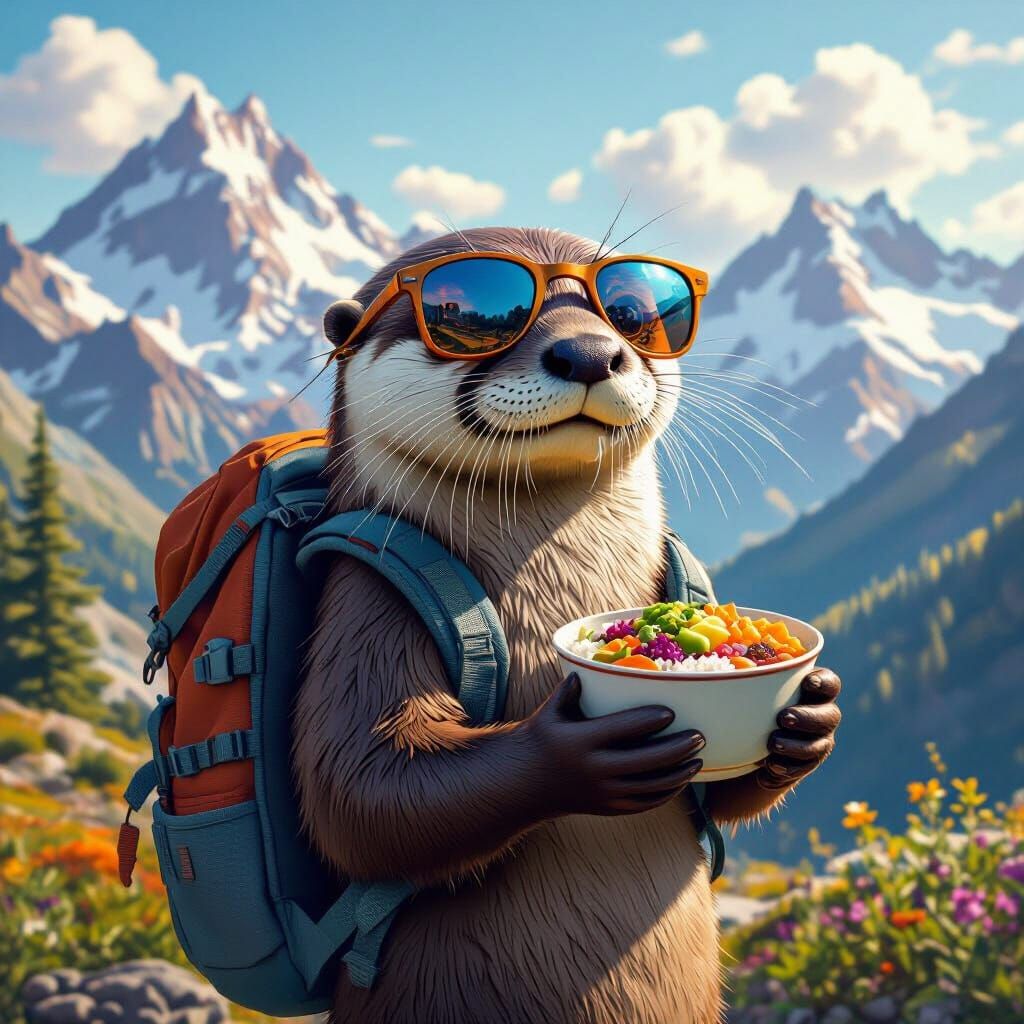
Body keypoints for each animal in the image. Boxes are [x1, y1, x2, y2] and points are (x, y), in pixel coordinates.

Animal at [294, 227, 841, 1024]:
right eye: (472, 310)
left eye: (630, 309)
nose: (588, 352)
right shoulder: (368, 595)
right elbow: (358, 793)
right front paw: (581, 752)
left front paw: (811, 716)